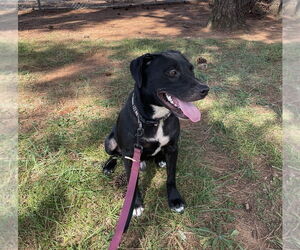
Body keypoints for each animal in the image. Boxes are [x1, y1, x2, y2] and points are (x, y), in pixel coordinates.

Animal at [103, 50, 209, 217]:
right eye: (172, 72)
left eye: (191, 69)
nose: (205, 89)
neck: (155, 119)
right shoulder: (129, 153)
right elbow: (132, 182)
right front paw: (136, 204)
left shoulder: (173, 147)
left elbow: (171, 177)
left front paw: (175, 200)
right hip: (110, 142)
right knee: (114, 154)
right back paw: (109, 165)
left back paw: (160, 159)